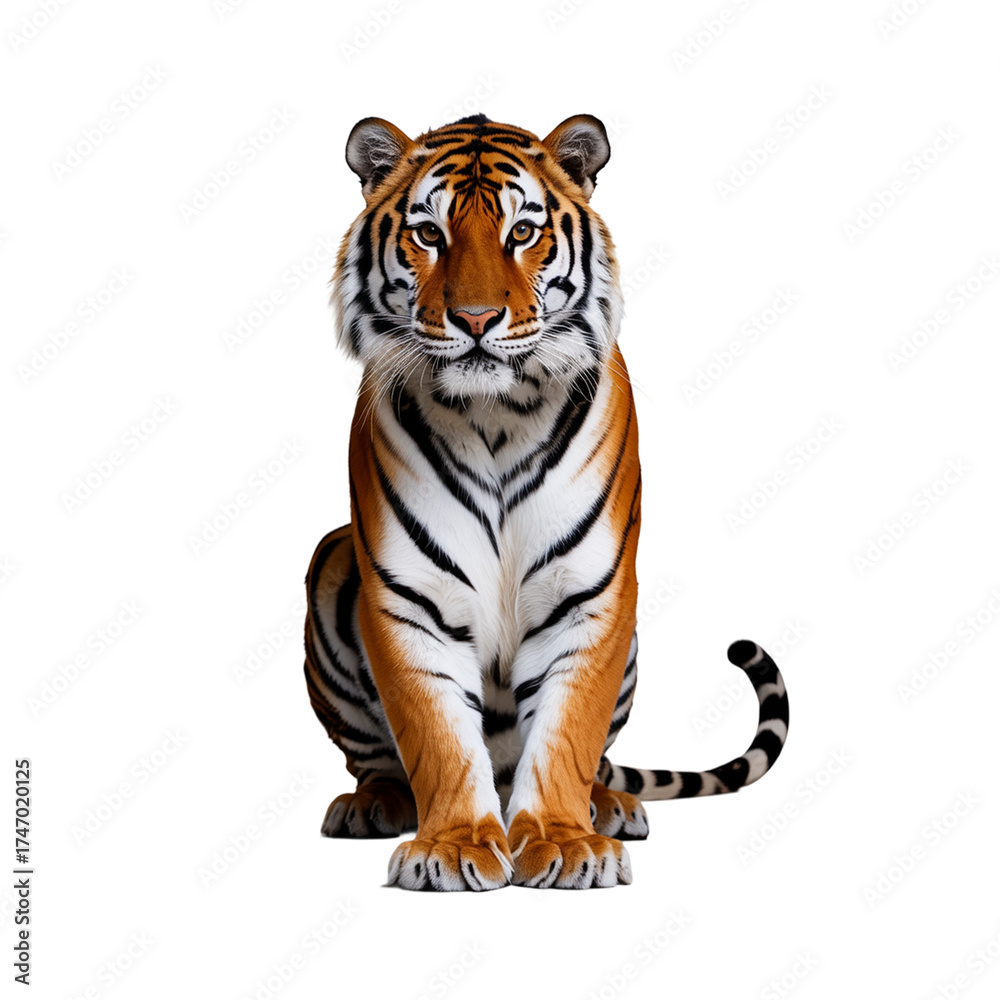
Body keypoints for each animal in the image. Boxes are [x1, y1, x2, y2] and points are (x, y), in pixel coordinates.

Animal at [302, 113, 789, 891]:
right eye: (429, 234)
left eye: (523, 232)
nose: (475, 318)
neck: (493, 414)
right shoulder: (409, 597)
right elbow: (436, 734)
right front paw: (454, 847)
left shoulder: (591, 595)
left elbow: (569, 730)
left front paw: (565, 842)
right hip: (331, 561)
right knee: (377, 757)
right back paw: (373, 803)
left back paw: (607, 805)